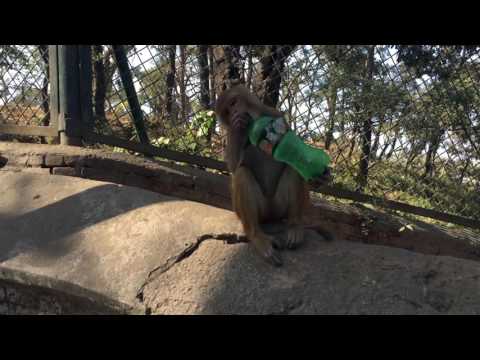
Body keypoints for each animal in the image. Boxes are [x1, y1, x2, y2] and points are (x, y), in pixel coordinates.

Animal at [217, 83, 330, 264]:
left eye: (233, 103)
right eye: (227, 112)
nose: (234, 113)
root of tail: (272, 216)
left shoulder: (276, 115)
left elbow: (293, 155)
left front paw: (320, 176)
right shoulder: (230, 134)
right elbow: (234, 167)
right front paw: (238, 127)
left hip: (280, 207)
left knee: (292, 168)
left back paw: (294, 226)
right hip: (257, 211)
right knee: (242, 174)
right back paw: (257, 236)